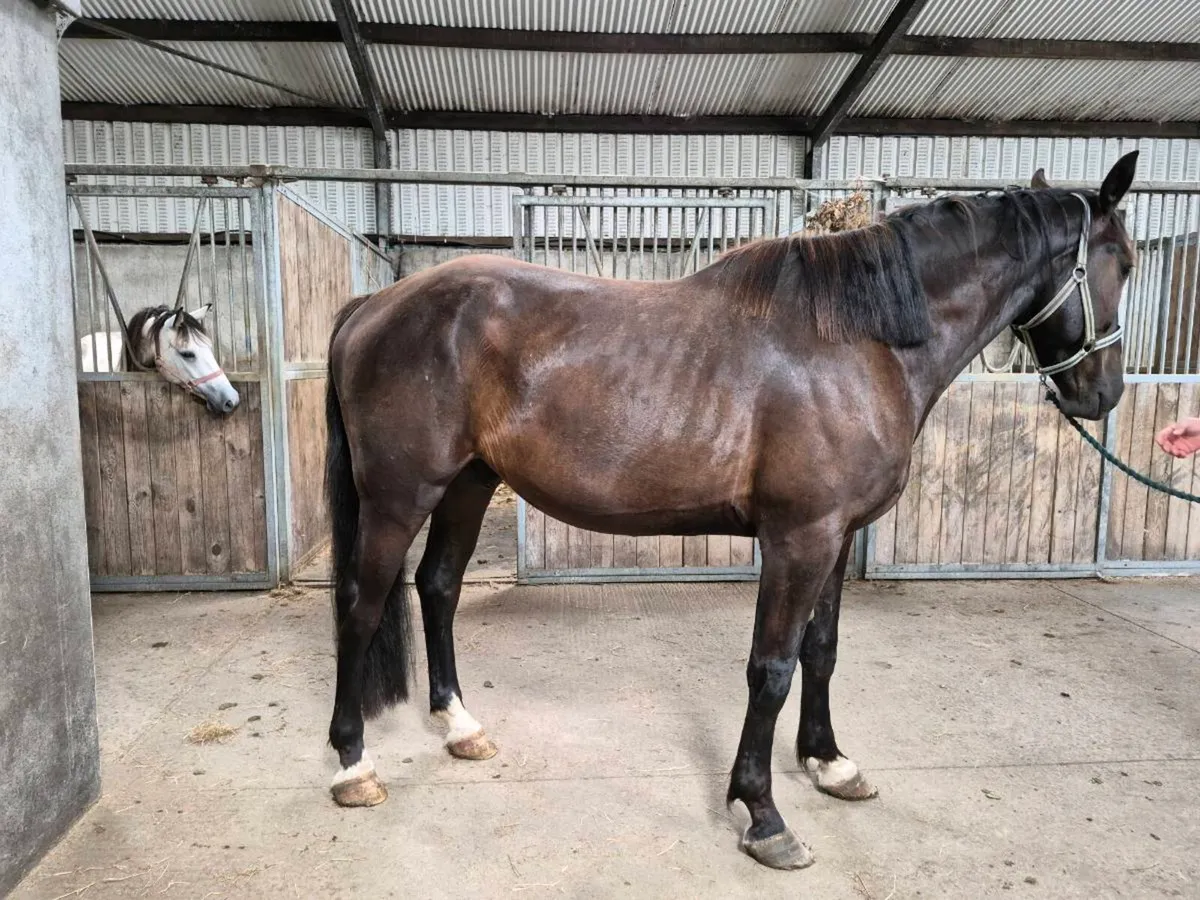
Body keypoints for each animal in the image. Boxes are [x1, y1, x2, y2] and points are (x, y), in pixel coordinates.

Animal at [322, 153, 1138, 871]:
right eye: (1125, 263)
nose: (1102, 394)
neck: (861, 342)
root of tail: (374, 306)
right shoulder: (798, 538)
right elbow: (771, 669)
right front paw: (764, 816)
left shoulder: (835, 536)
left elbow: (821, 650)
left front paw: (830, 763)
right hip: (400, 496)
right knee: (362, 608)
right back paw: (351, 765)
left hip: (467, 484)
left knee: (438, 587)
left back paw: (459, 726)